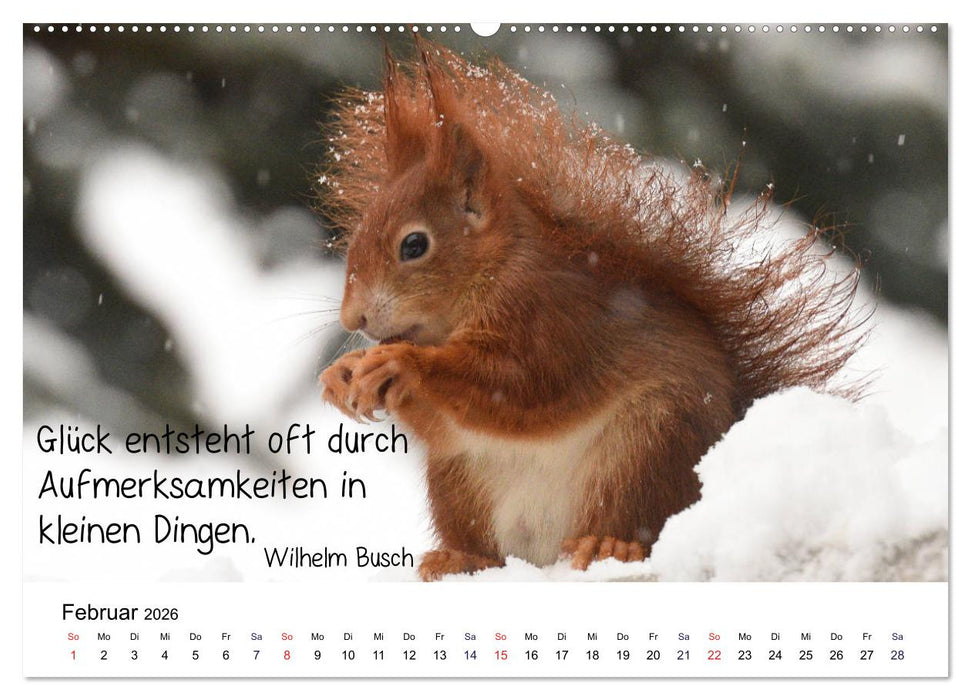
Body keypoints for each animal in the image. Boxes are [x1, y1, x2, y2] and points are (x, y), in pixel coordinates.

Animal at [316, 39, 868, 581]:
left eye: (414, 245)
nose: (352, 320)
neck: (486, 280)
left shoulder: (555, 319)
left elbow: (519, 385)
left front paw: (401, 362)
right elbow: (445, 422)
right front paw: (341, 374)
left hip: (646, 446)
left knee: (635, 521)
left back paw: (609, 543)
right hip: (457, 479)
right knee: (487, 545)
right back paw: (461, 557)